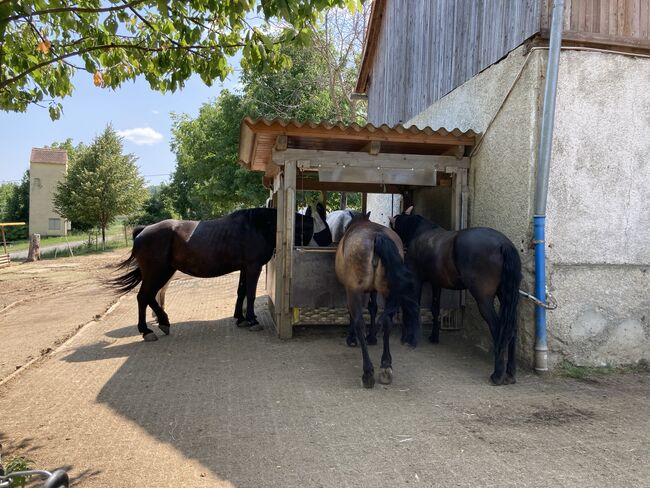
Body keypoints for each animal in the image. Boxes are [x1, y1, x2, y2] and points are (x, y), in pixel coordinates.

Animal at [334, 214, 420, 388]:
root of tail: (377, 236)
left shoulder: (350, 290)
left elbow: (353, 314)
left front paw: (352, 338)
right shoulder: (374, 290)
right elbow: (373, 308)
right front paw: (372, 337)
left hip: (354, 290)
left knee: (359, 322)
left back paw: (368, 372)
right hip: (387, 291)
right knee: (387, 322)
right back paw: (386, 366)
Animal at [388, 206, 520, 386]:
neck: (419, 232)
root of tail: (503, 244)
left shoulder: (417, 279)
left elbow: (414, 307)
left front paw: (410, 339)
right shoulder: (436, 283)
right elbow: (435, 308)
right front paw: (433, 336)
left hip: (484, 299)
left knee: (498, 327)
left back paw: (498, 374)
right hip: (505, 295)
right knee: (511, 328)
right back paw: (510, 373)